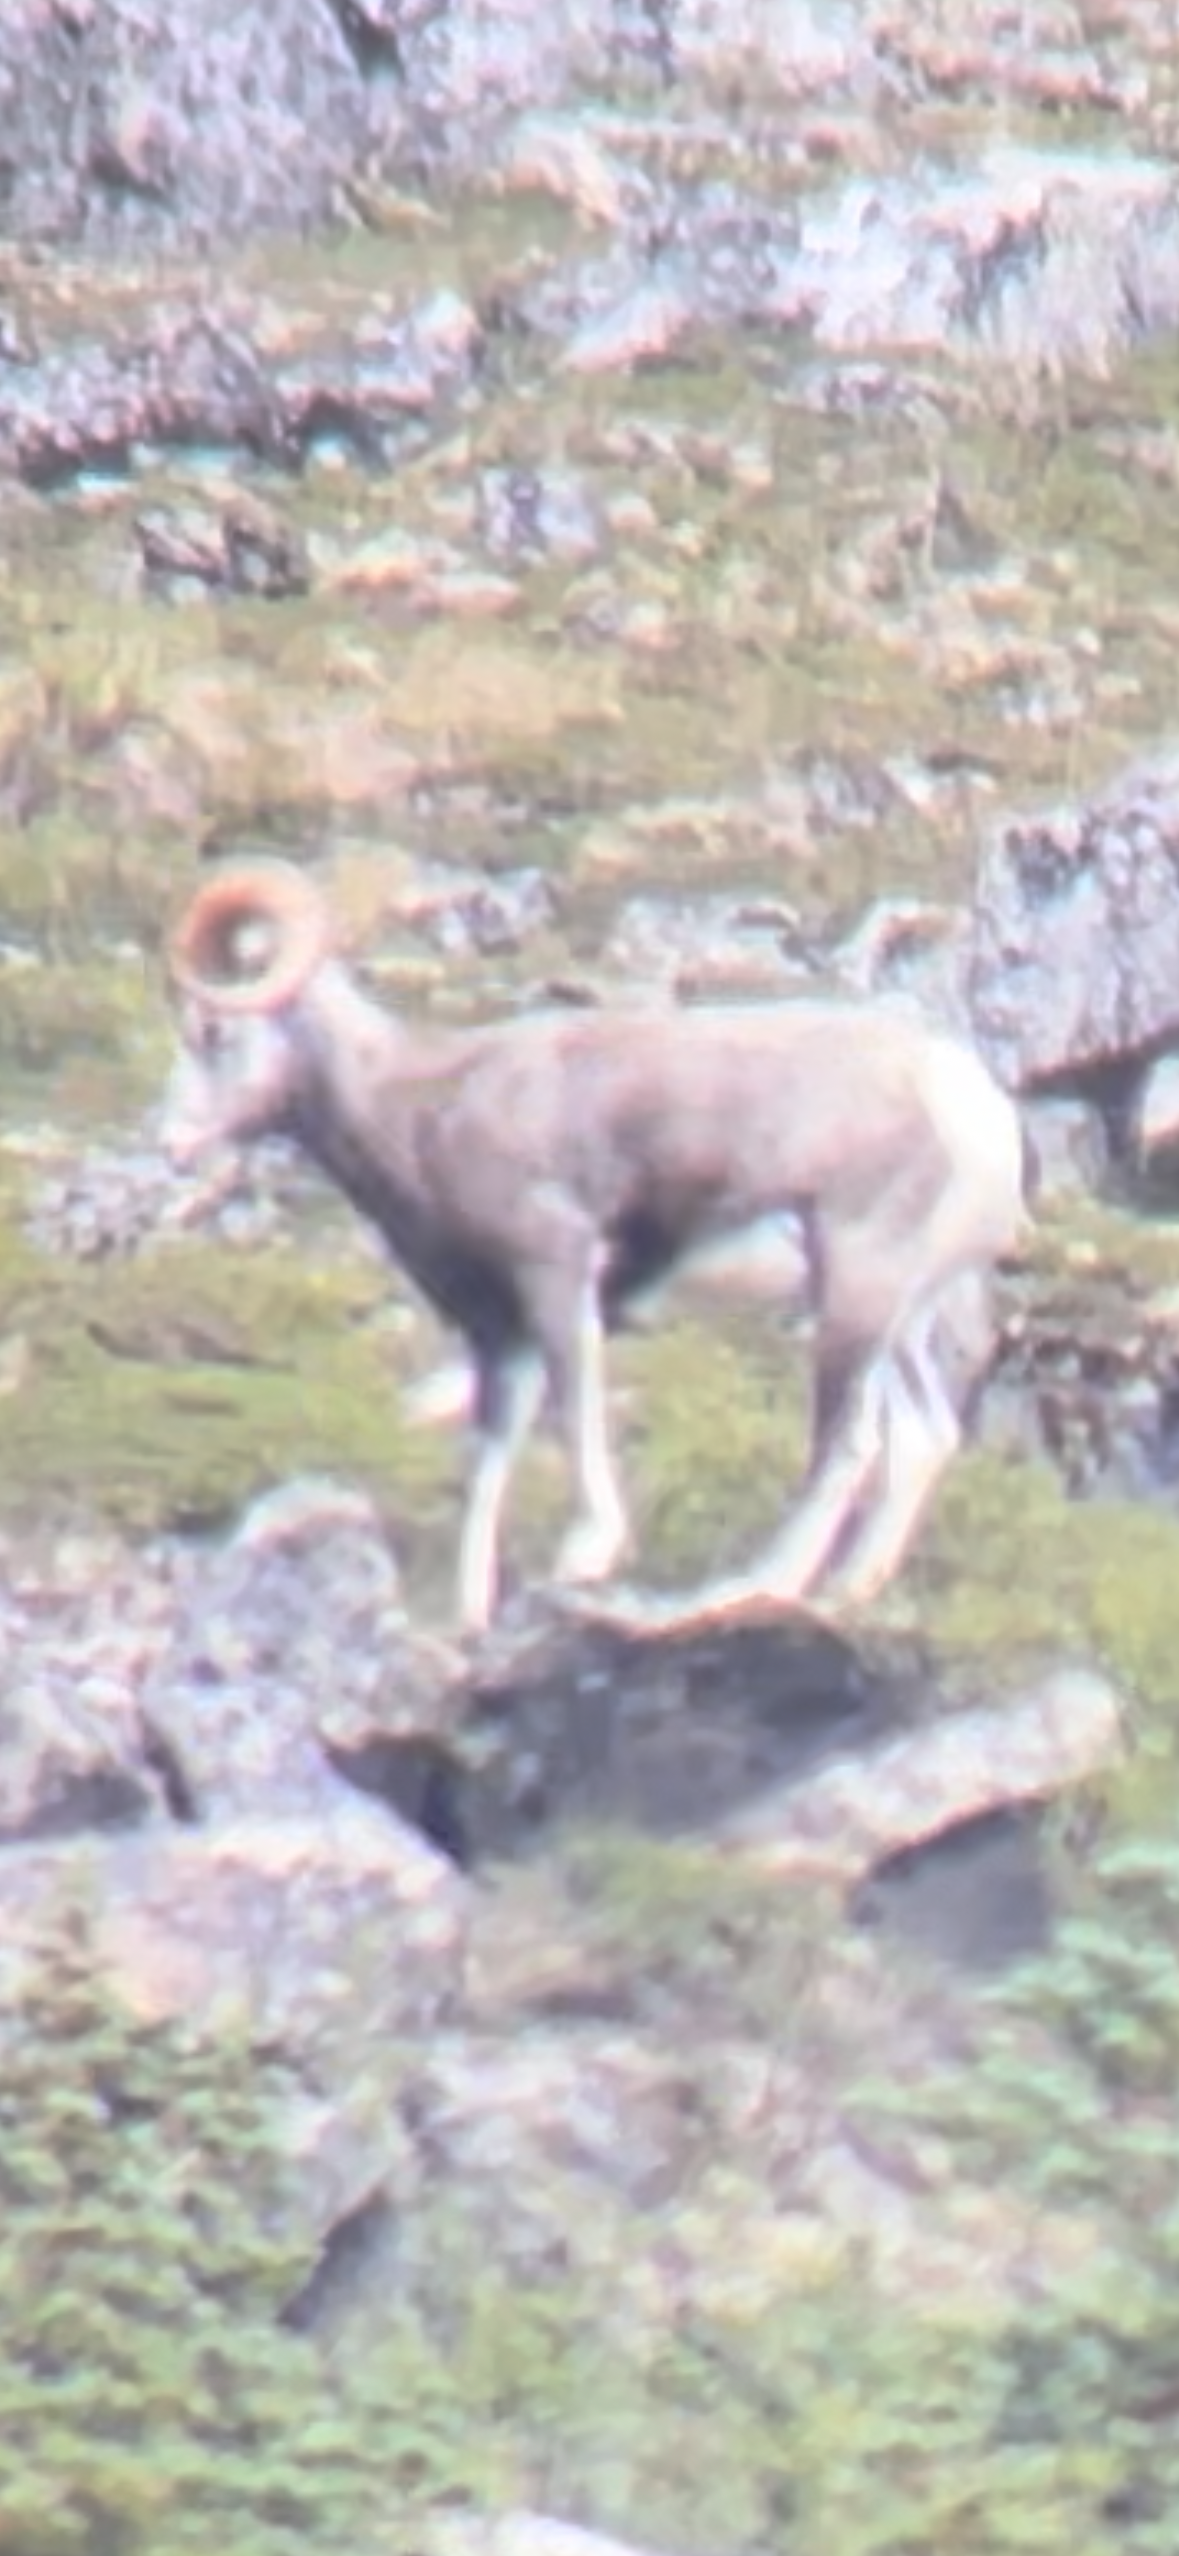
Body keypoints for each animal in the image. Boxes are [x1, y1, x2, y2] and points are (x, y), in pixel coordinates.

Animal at [157, 858, 1028, 1637]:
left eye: (212, 1031)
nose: (171, 1140)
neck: (423, 1110)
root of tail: (968, 1102)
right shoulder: (497, 1335)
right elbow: (488, 1464)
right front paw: (469, 1620)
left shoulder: (556, 1276)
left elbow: (574, 1406)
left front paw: (586, 1555)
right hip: (899, 1318)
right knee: (922, 1438)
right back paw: (845, 1594)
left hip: (854, 1291)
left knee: (847, 1447)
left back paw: (756, 1589)